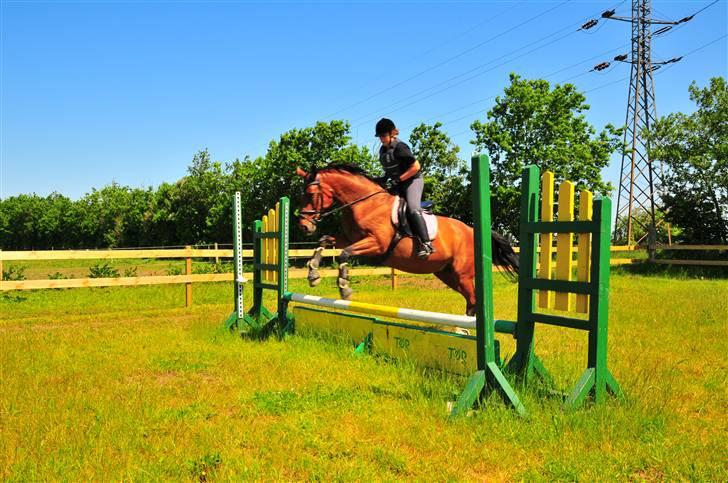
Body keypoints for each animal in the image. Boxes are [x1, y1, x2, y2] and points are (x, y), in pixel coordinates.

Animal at [292, 164, 520, 316]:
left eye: (310, 194)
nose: (304, 226)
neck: (365, 204)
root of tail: (472, 230)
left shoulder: (376, 244)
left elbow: (344, 254)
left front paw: (344, 288)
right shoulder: (347, 238)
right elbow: (324, 242)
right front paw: (313, 274)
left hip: (462, 274)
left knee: (473, 300)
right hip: (447, 274)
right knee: (470, 301)